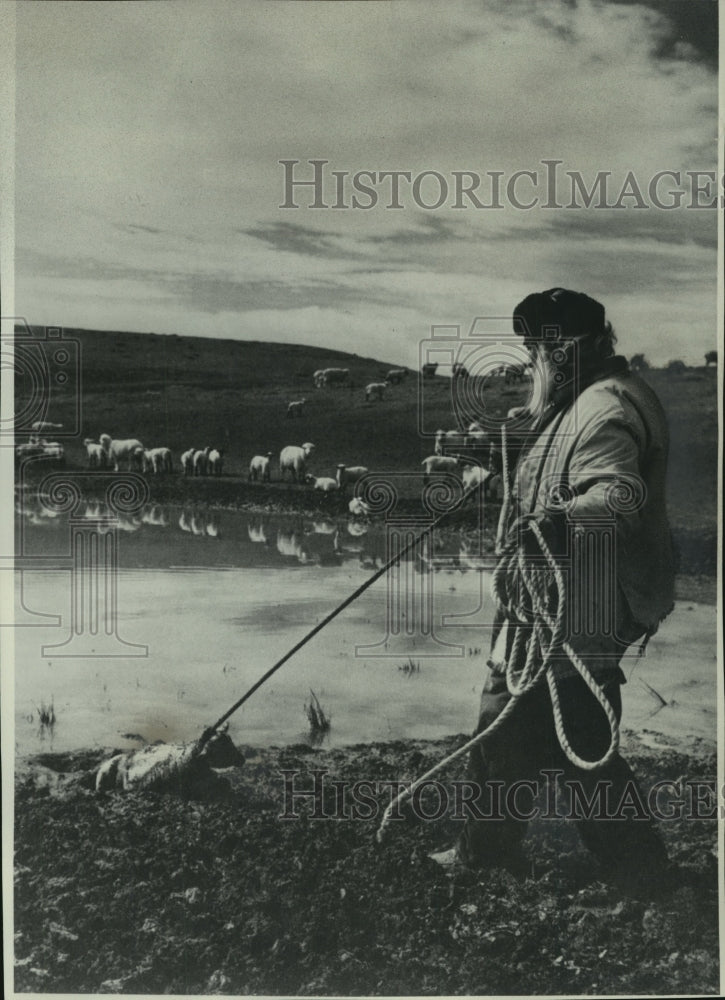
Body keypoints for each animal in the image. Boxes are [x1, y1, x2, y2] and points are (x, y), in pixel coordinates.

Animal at [94, 724, 243, 800]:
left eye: (229, 739)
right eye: (221, 747)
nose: (242, 758)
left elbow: (224, 782)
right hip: (105, 773)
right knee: (100, 789)